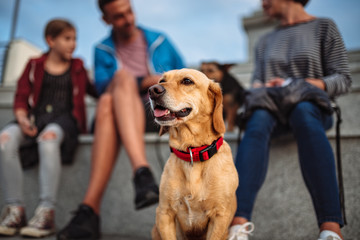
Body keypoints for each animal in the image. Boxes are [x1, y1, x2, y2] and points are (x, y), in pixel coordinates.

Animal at [149, 68, 239, 239]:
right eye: (162, 80)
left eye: (187, 81)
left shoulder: (220, 216)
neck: (192, 151)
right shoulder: (164, 213)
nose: (152, 90)